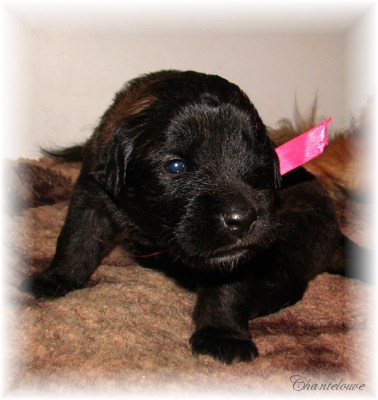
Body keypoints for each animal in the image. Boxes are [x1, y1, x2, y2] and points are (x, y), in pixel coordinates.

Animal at [21, 70, 346, 364]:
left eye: (259, 164)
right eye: (176, 166)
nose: (242, 219)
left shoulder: (236, 255)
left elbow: (226, 290)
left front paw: (223, 335)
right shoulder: (91, 196)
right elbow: (77, 241)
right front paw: (56, 279)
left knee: (289, 283)